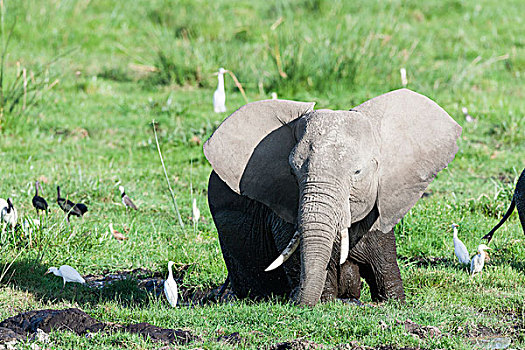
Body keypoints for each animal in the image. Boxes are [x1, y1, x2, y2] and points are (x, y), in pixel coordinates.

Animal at [204, 88, 458, 306]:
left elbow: (385, 266)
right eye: (293, 172)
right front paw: (328, 302)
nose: (293, 299)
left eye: (357, 172)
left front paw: (393, 302)